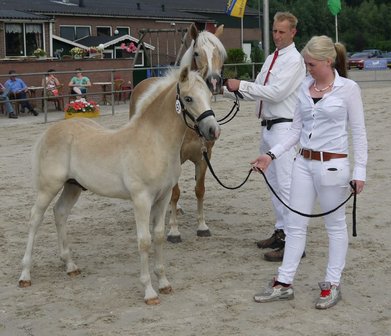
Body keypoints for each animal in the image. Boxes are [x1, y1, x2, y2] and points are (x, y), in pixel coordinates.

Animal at [19, 67, 220, 304]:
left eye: (209, 94)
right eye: (188, 98)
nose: (213, 130)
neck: (154, 142)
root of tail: (50, 131)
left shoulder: (162, 198)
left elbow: (159, 236)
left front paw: (164, 283)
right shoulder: (141, 199)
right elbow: (144, 241)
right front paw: (149, 292)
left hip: (72, 186)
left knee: (59, 213)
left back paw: (70, 266)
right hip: (48, 187)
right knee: (35, 219)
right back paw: (25, 275)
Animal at [129, 24, 227, 244]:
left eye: (219, 53)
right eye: (197, 52)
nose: (214, 81)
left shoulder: (203, 157)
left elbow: (199, 190)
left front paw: (202, 226)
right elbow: (175, 193)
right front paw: (174, 231)